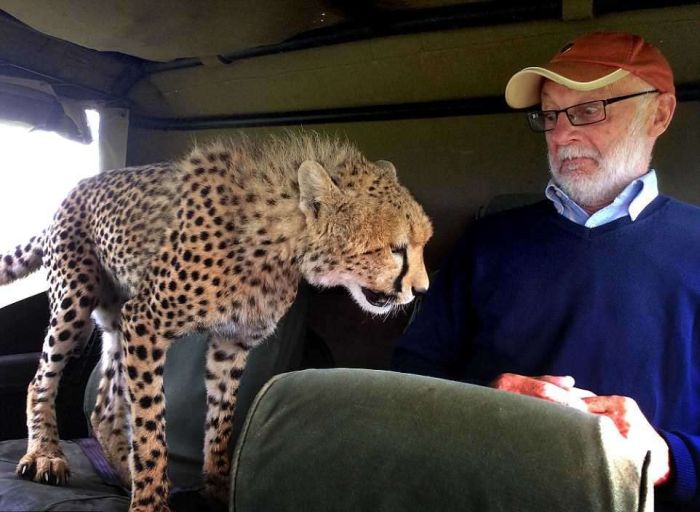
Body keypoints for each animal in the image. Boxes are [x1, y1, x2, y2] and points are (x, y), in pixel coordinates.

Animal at [1, 133, 432, 512]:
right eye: (395, 249)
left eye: (422, 243)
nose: (422, 289)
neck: (280, 241)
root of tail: (78, 186)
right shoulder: (146, 322)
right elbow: (150, 423)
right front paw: (150, 502)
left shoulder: (231, 344)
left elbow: (221, 424)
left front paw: (217, 491)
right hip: (74, 301)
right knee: (42, 380)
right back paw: (46, 454)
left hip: (114, 318)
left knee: (105, 405)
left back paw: (123, 474)